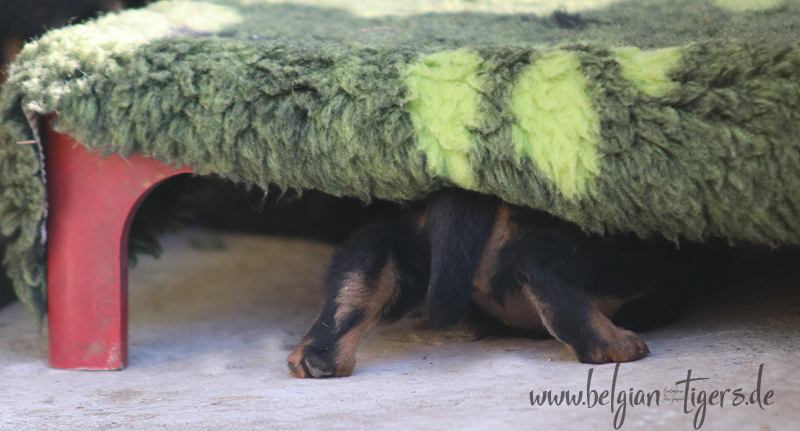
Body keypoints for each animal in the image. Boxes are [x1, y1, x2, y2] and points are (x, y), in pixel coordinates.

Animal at [288, 189, 722, 378]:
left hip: (391, 241)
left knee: (358, 279)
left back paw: (318, 357)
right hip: (631, 255)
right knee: (543, 270)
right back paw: (615, 345)